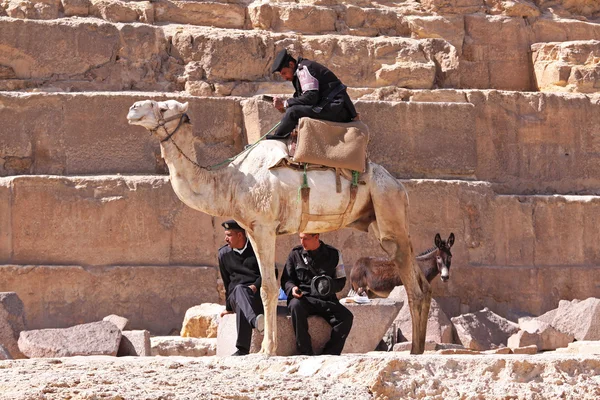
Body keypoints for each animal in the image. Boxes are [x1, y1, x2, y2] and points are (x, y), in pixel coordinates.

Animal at [125, 98, 432, 354]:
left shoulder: (264, 226)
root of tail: (399, 185)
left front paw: (267, 350)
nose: (132, 108)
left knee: (413, 286)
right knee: (421, 280)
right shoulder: (251, 228)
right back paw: (418, 347)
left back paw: (415, 352)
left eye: (163, 107)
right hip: (379, 221)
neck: (230, 181)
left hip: (388, 207)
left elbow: (268, 288)